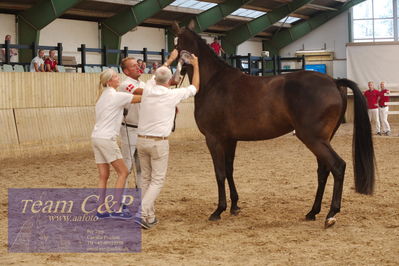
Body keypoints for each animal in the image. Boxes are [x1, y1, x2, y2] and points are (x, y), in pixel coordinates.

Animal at [173, 22, 376, 229]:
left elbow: (219, 173)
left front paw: (218, 210)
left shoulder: (213, 139)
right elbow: (229, 170)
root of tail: (334, 82)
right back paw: (312, 212)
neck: (214, 82)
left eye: (176, 43)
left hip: (313, 139)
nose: (175, 68)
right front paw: (234, 206)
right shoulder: (230, 139)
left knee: (337, 166)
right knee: (323, 171)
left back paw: (331, 214)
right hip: (323, 140)